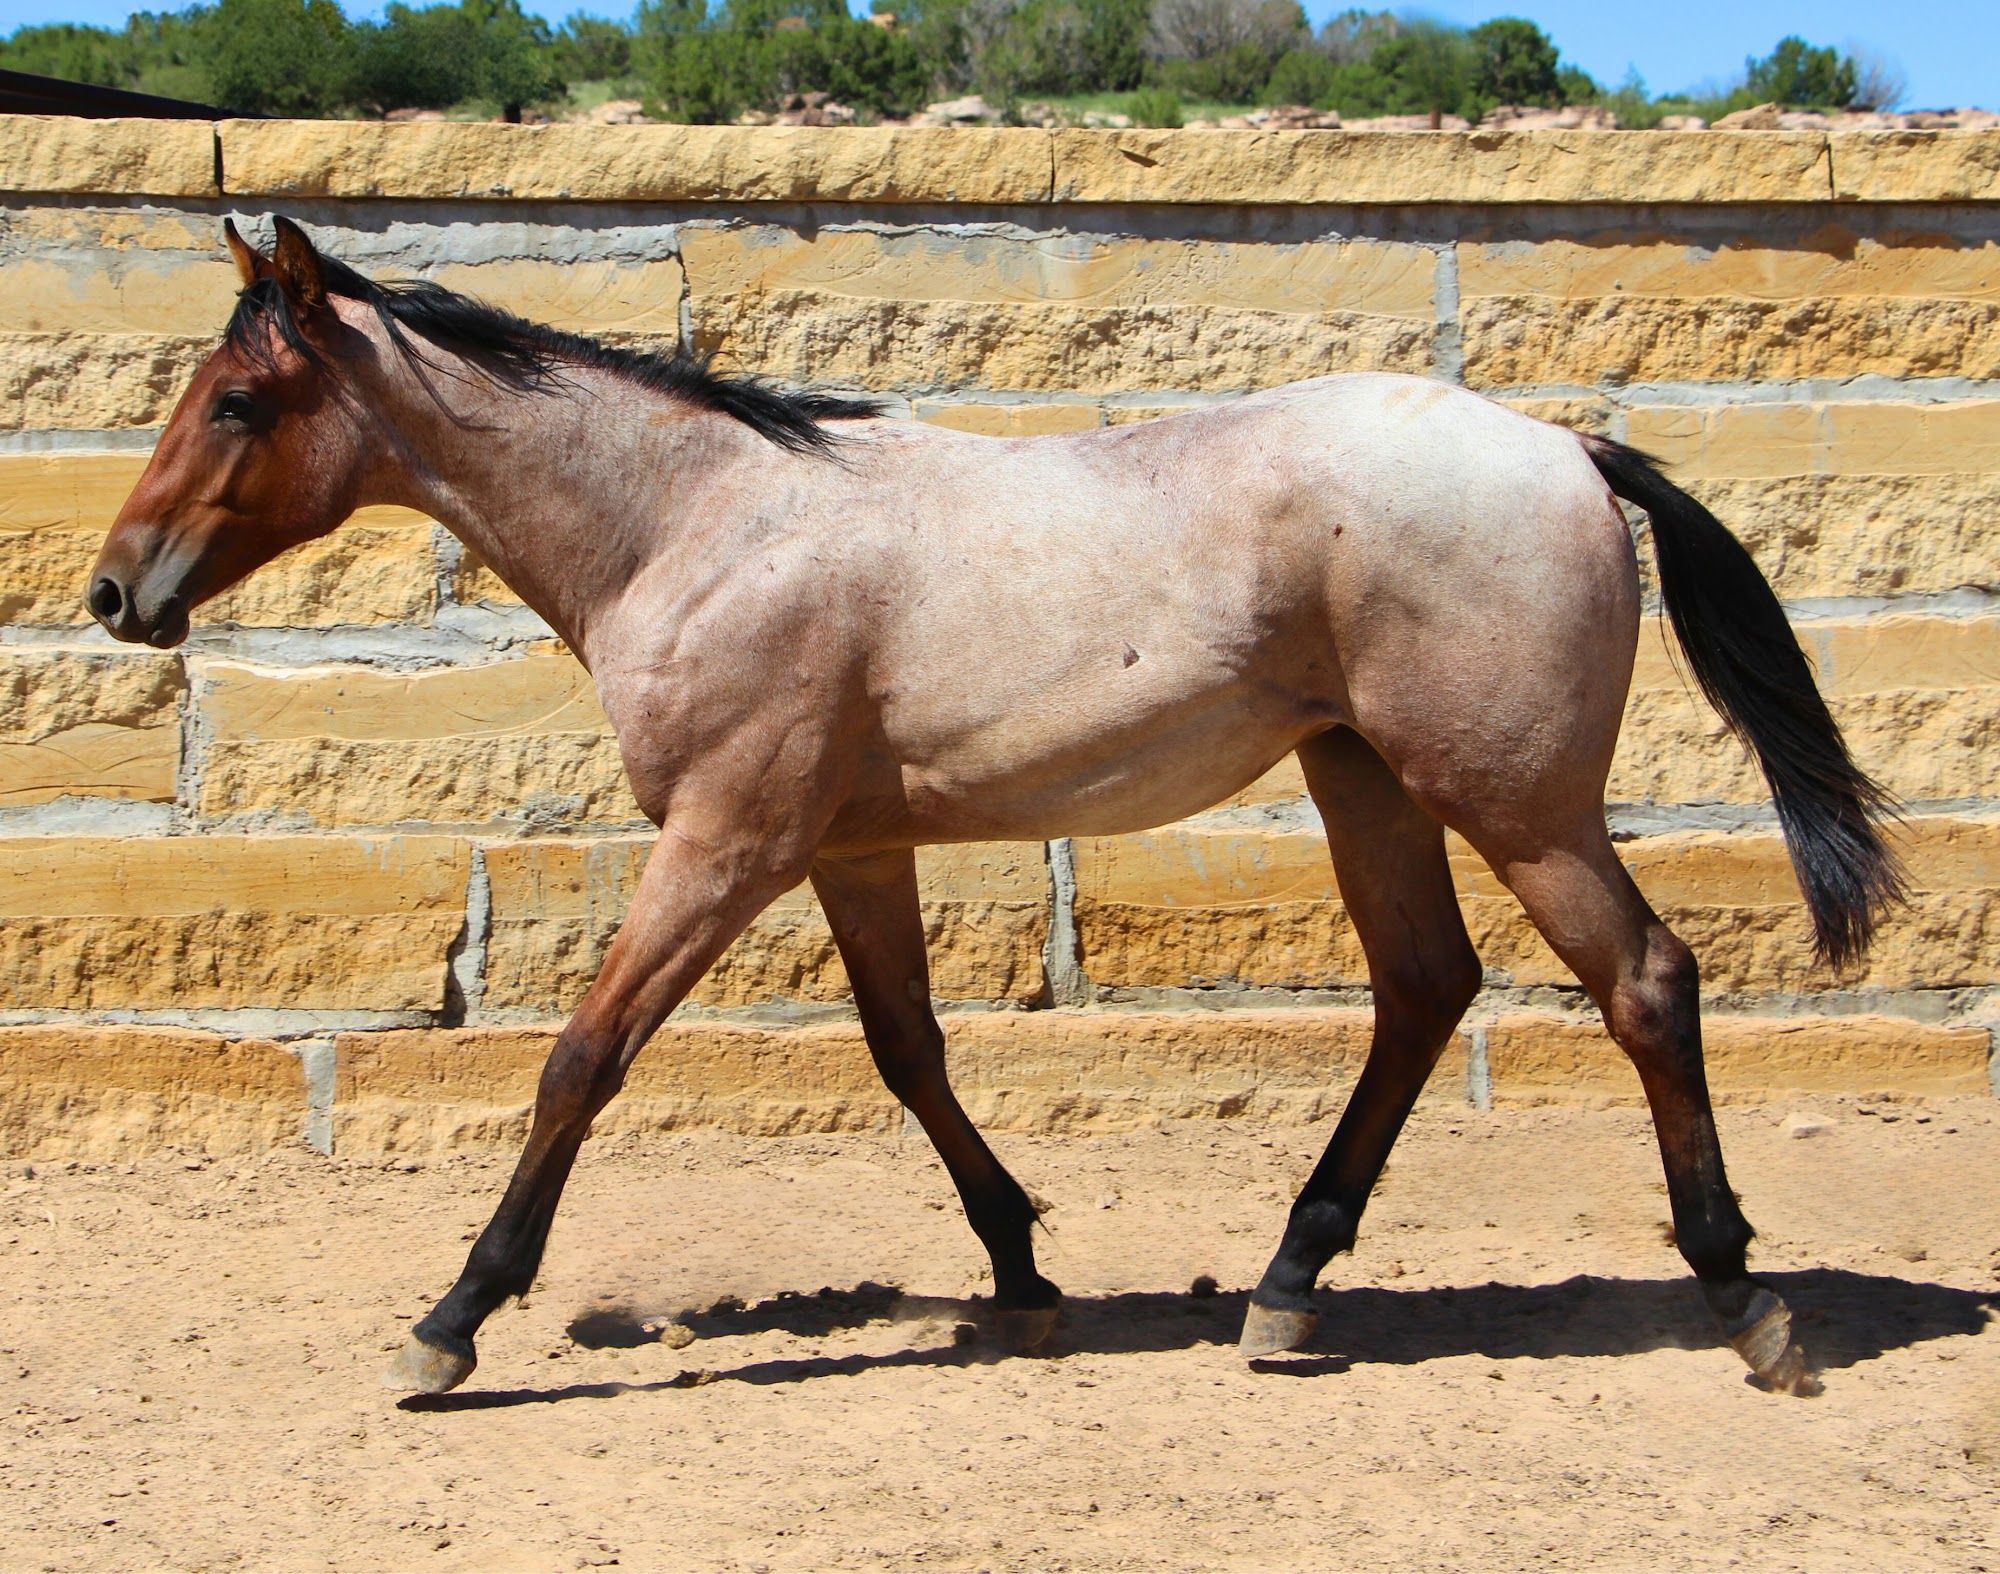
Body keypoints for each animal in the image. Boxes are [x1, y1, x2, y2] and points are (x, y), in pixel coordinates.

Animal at [88, 217, 1902, 1400]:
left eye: (236, 401)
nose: (118, 589)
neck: (695, 522)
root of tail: (1570, 448)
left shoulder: (729, 842)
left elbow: (582, 1058)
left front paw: (454, 1315)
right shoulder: (848, 847)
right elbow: (909, 1051)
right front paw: (1024, 1274)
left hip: (1515, 799)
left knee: (1644, 981)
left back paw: (1745, 1301)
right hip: (1367, 777)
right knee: (1422, 988)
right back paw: (1286, 1288)